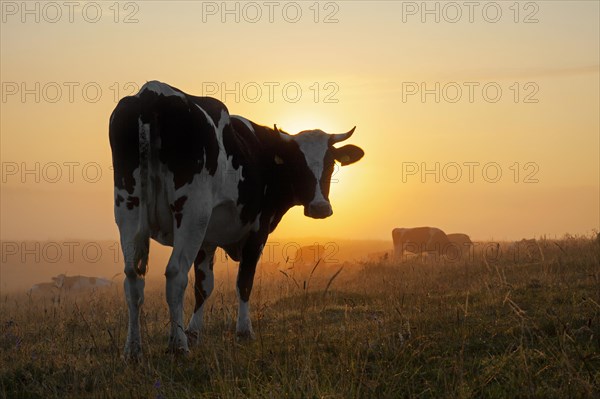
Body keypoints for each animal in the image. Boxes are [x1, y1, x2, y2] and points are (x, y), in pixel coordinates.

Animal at [108, 79, 364, 358]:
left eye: (330, 164)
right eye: (298, 163)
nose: (319, 207)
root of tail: (153, 93)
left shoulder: (207, 240)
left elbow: (204, 287)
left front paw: (194, 332)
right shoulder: (256, 231)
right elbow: (244, 282)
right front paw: (243, 331)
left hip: (128, 206)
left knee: (133, 278)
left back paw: (133, 350)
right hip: (192, 212)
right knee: (175, 274)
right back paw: (177, 346)